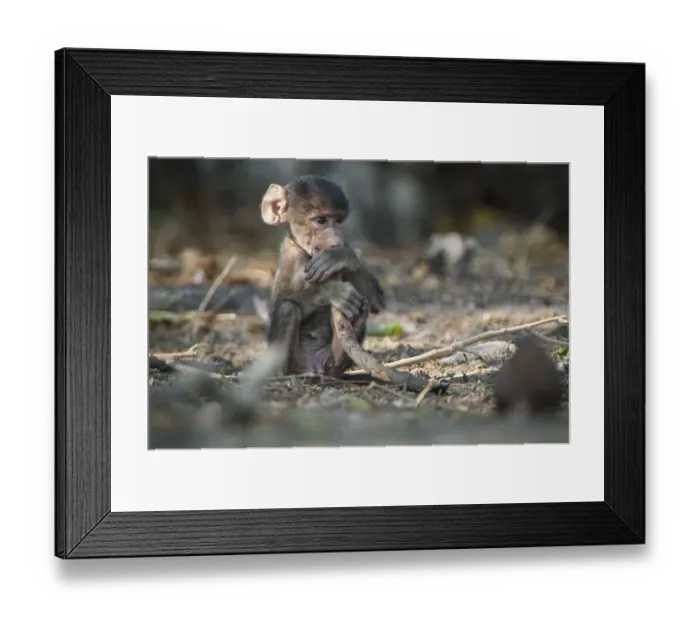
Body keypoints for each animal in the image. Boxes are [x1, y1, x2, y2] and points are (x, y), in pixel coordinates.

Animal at [260, 175, 386, 378]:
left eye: (339, 219)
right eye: (321, 220)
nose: (335, 241)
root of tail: (313, 366)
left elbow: (377, 301)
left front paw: (341, 257)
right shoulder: (290, 254)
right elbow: (283, 299)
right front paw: (332, 292)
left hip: (329, 360)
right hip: (295, 363)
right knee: (287, 309)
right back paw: (280, 374)